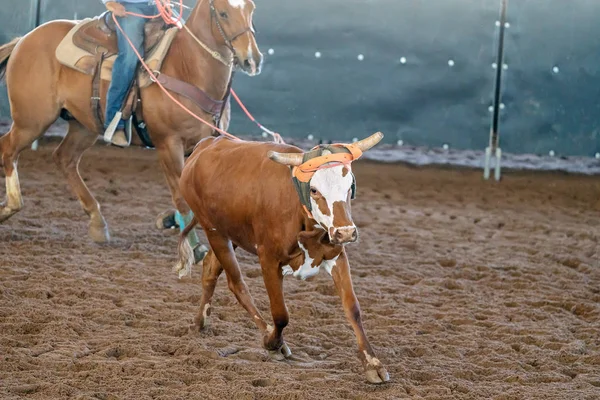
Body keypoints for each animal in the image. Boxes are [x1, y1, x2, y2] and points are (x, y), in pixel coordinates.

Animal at [0, 0, 262, 250]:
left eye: (251, 9)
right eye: (223, 13)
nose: (252, 59)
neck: (186, 66)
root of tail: (24, 39)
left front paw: (169, 220)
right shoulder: (168, 144)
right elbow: (181, 195)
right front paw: (194, 247)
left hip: (83, 125)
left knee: (64, 158)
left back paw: (97, 222)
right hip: (31, 120)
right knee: (9, 150)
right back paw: (11, 204)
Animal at [173, 132, 390, 384]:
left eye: (349, 186)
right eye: (314, 190)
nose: (345, 232)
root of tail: (205, 145)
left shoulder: (337, 255)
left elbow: (352, 308)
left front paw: (372, 363)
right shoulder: (269, 259)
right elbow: (280, 314)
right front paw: (273, 343)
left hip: (231, 233)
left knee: (210, 268)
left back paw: (200, 322)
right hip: (214, 231)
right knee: (237, 283)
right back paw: (267, 334)